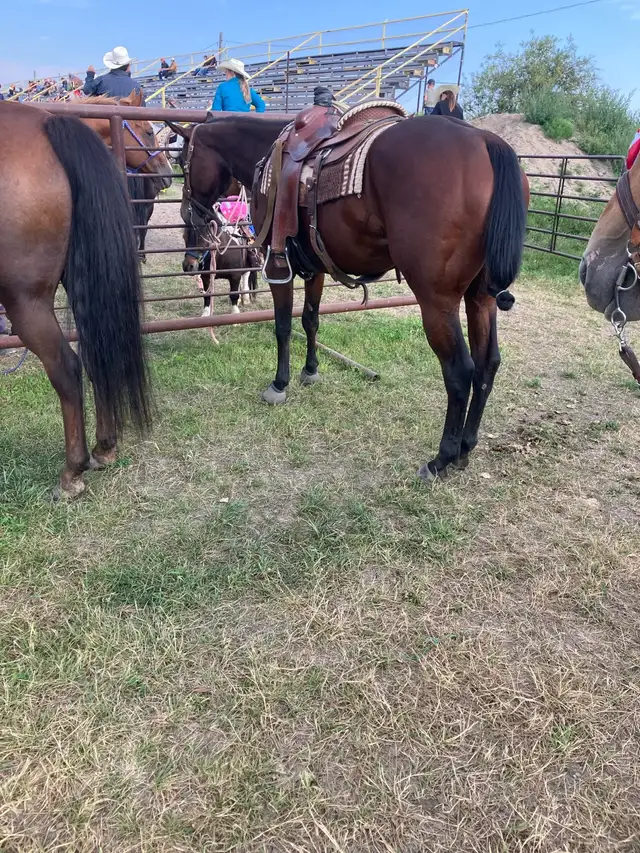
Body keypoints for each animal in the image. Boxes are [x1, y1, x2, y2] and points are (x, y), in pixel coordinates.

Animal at [0, 99, 151, 498]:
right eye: (147, 131)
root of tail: (48, 124)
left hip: (26, 301)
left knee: (67, 368)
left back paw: (72, 473)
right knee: (99, 354)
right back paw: (104, 448)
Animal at [168, 112, 529, 480]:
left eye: (182, 161)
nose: (188, 213)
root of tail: (485, 139)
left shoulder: (277, 265)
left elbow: (283, 326)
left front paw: (279, 384)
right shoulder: (315, 267)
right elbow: (310, 320)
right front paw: (310, 370)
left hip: (437, 301)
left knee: (460, 372)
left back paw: (441, 459)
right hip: (480, 297)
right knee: (488, 362)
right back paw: (466, 447)